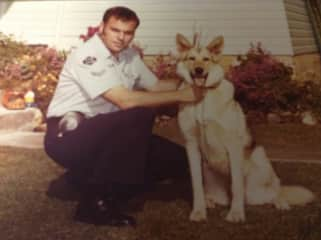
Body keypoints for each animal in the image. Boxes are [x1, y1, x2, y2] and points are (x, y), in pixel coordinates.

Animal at [174, 32, 314, 222]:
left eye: (206, 59)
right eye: (191, 59)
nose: (199, 70)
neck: (203, 96)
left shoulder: (233, 144)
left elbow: (236, 184)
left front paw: (236, 213)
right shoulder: (191, 145)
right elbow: (197, 185)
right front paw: (199, 211)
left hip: (260, 164)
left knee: (275, 191)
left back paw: (280, 203)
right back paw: (209, 201)